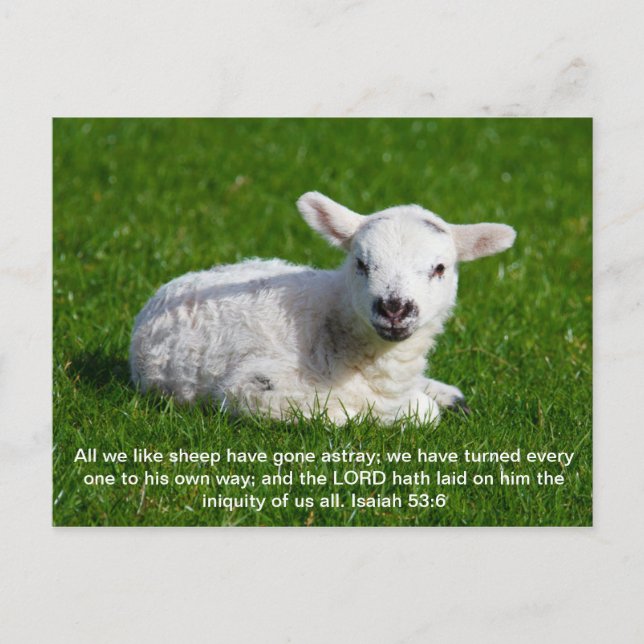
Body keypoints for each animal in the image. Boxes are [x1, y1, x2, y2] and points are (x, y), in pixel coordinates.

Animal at [130, 192, 516, 426]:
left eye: (439, 268)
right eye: (360, 263)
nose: (394, 308)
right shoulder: (253, 387)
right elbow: (348, 414)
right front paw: (402, 411)